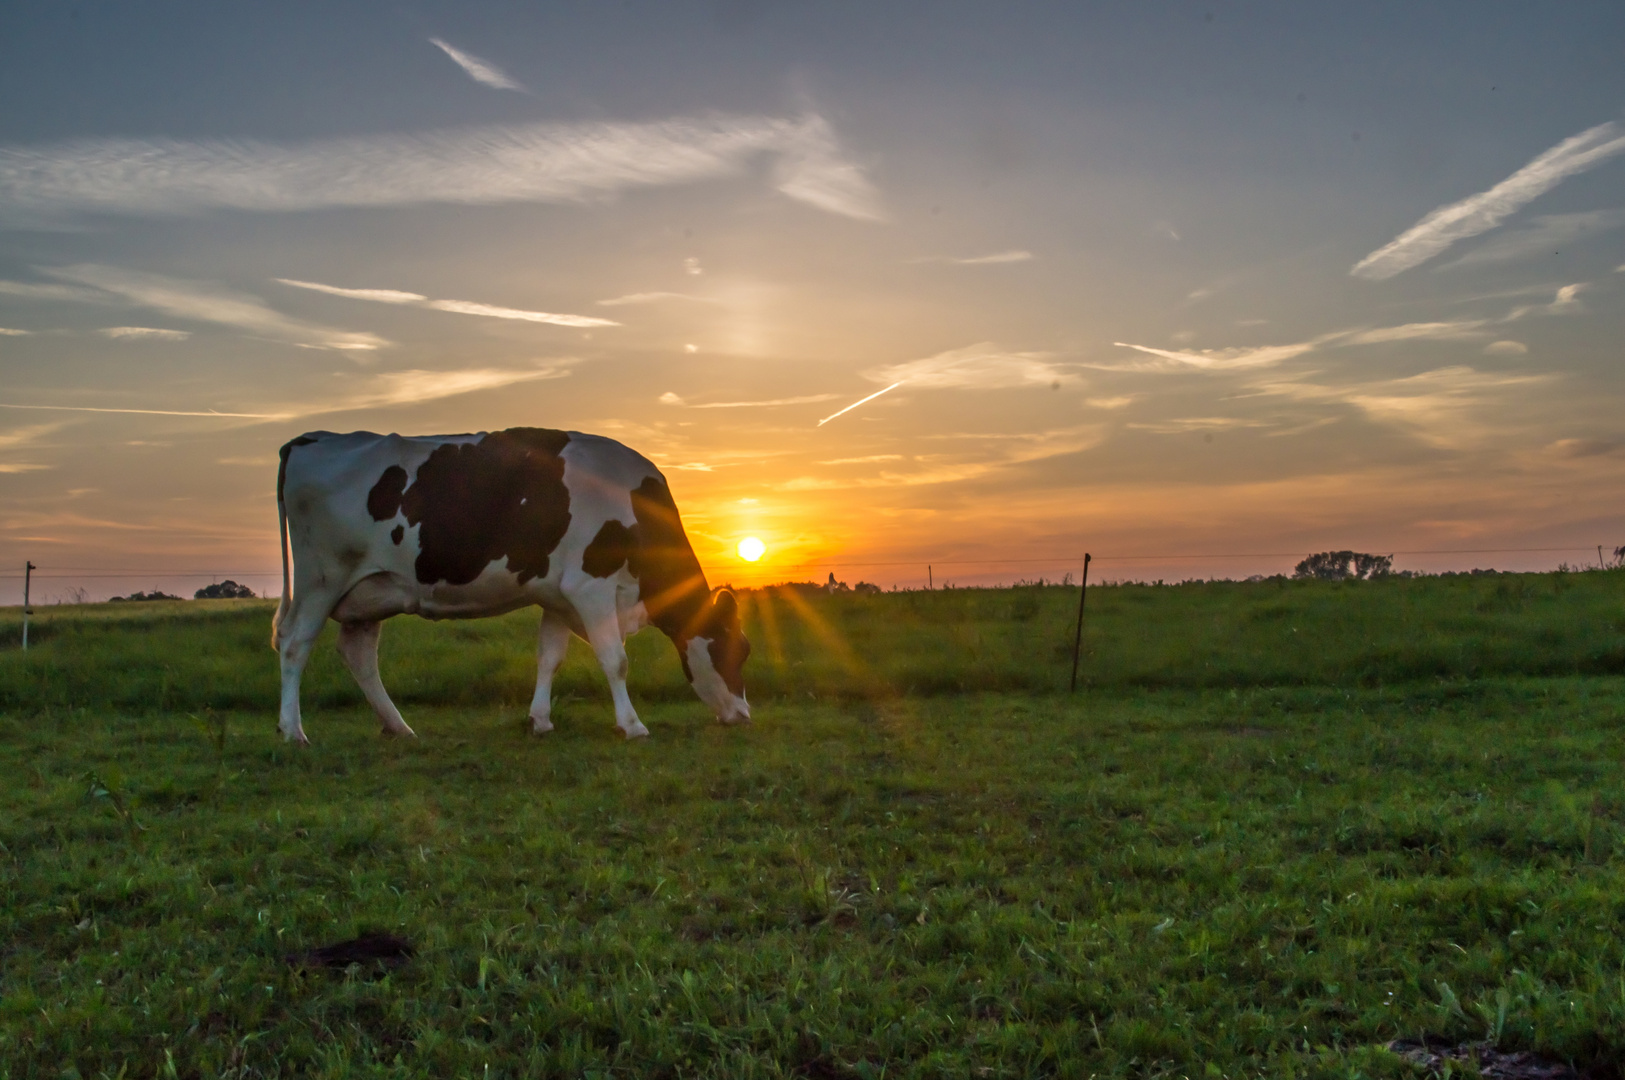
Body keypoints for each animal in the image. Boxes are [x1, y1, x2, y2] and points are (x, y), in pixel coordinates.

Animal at [269, 428, 750, 740]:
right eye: (737, 649)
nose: (745, 715)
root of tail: (312, 438)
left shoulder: (558, 596)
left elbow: (550, 657)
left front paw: (540, 720)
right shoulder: (590, 586)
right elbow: (615, 660)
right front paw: (632, 725)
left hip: (370, 591)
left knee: (359, 654)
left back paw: (398, 726)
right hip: (321, 578)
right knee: (294, 643)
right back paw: (293, 730)